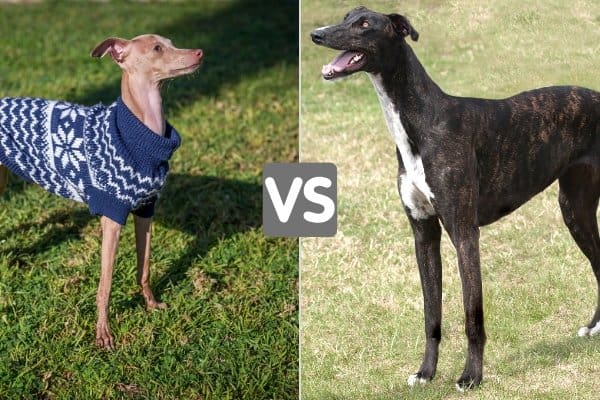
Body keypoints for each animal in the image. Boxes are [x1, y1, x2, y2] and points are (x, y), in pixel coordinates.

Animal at [312, 7, 600, 390]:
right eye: (346, 16)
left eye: (365, 24)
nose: (316, 34)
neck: (422, 120)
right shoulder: (424, 234)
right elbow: (431, 313)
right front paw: (425, 372)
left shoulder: (464, 232)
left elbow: (472, 315)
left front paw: (471, 376)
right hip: (575, 210)